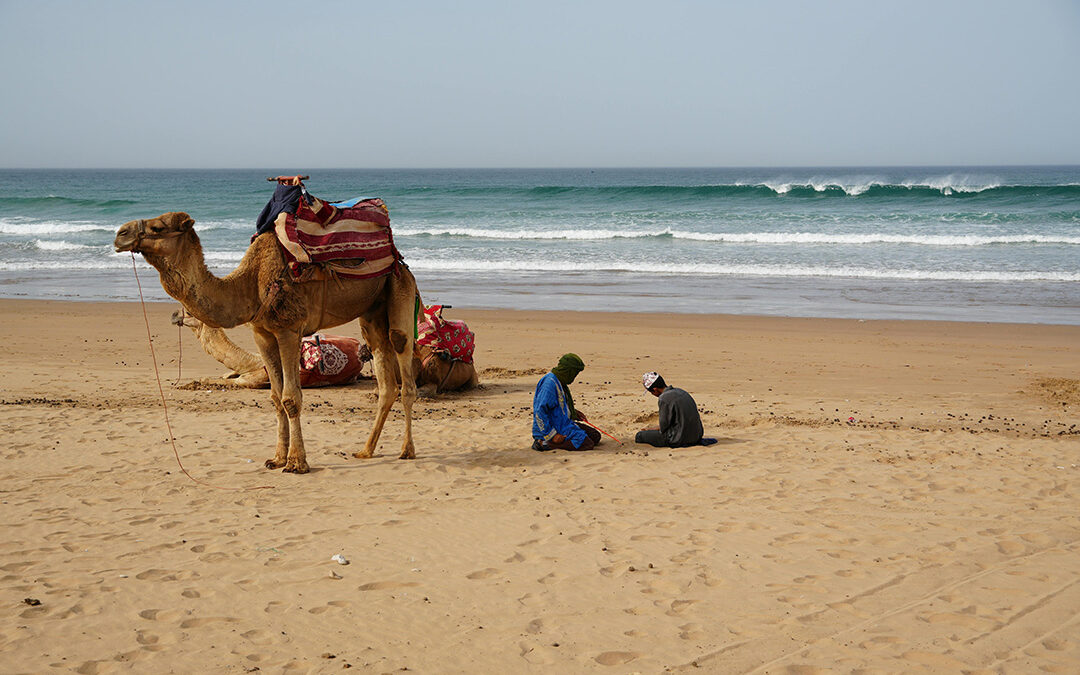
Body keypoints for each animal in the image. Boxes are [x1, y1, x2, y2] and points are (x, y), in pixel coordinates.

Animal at [114, 211, 419, 473]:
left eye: (158, 227)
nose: (120, 234)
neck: (249, 285)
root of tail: (399, 260)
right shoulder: (262, 334)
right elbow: (275, 397)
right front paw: (276, 459)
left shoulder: (289, 329)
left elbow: (291, 398)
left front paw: (296, 463)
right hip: (372, 311)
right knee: (385, 377)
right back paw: (366, 451)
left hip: (399, 286)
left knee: (403, 359)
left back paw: (407, 450)